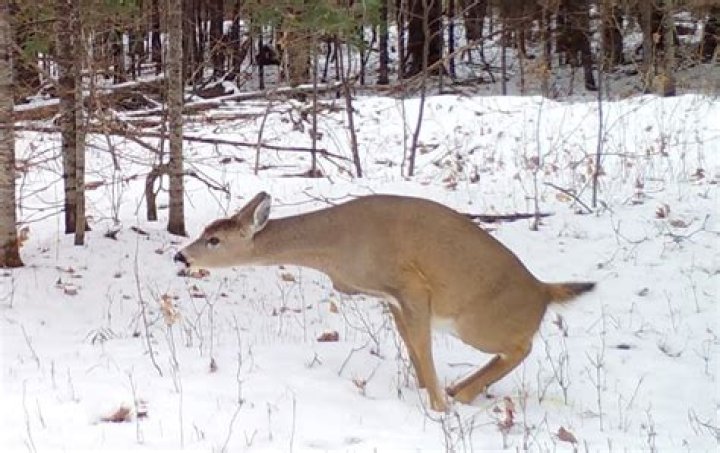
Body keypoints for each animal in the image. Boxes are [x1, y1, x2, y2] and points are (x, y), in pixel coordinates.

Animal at [174, 192, 595, 412]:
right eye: (204, 231)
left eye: (214, 240)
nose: (182, 256)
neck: (337, 248)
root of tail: (543, 290)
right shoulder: (390, 299)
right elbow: (412, 347)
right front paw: (428, 393)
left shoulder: (411, 283)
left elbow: (422, 347)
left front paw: (438, 408)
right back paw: (460, 389)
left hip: (477, 323)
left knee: (521, 346)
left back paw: (461, 393)